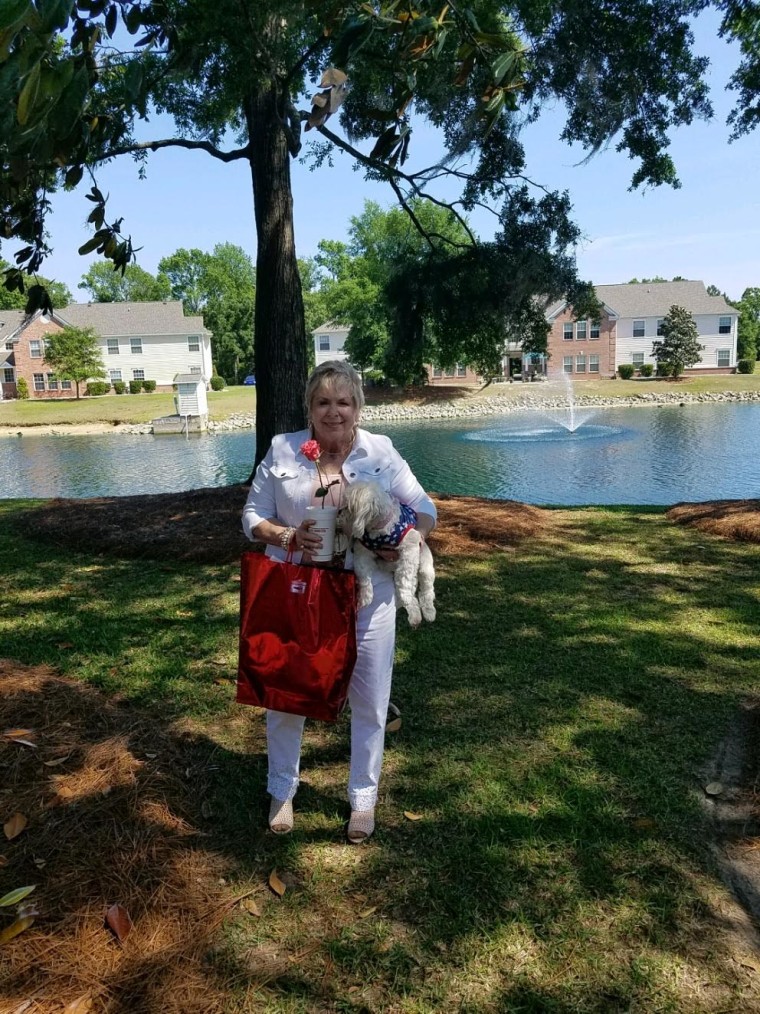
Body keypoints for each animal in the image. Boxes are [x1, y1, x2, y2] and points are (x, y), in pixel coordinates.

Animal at [342, 480, 437, 624]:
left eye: (348, 507)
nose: (339, 511)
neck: (379, 531)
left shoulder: (410, 548)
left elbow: (405, 576)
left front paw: (405, 595)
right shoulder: (362, 552)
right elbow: (363, 575)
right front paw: (365, 597)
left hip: (425, 568)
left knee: (426, 591)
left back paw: (428, 612)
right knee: (412, 595)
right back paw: (414, 617)